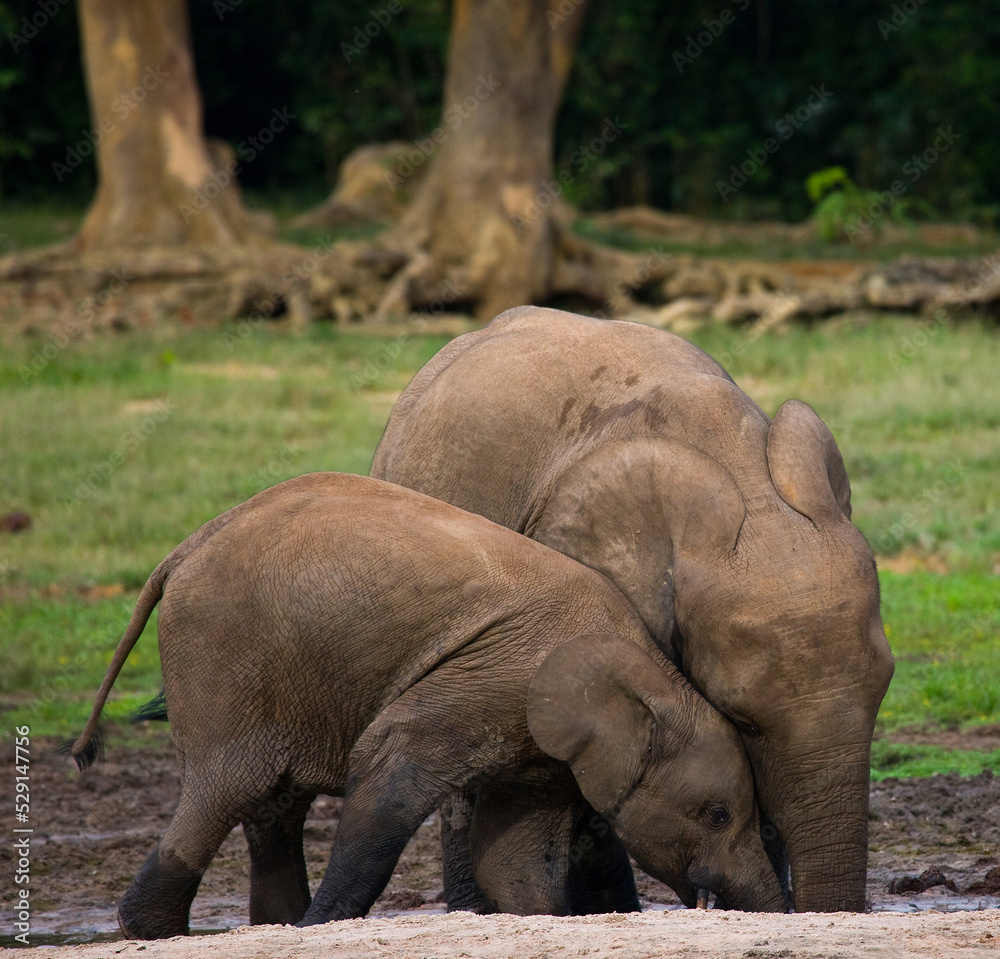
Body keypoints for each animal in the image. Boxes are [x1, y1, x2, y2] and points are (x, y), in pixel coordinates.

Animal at [70, 472, 786, 939]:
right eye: (718, 814)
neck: (652, 678)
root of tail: (183, 550)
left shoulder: (540, 744)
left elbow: (514, 860)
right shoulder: (491, 679)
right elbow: (388, 776)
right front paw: (324, 928)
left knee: (271, 803)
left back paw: (273, 924)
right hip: (224, 653)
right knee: (227, 790)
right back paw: (164, 930)